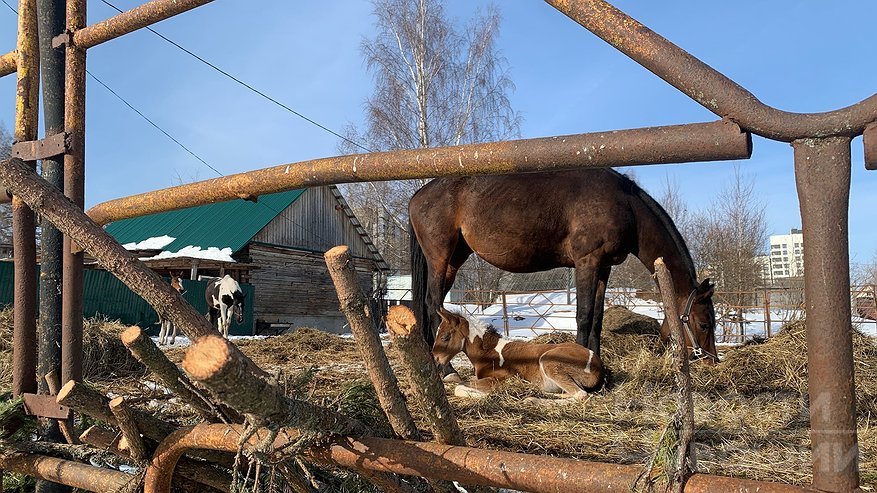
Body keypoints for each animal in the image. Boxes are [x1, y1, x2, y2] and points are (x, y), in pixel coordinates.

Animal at [408, 168, 716, 362]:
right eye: (703, 323)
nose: (711, 360)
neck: (624, 205)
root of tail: (418, 196)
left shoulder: (603, 268)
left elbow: (597, 319)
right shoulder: (587, 263)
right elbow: (583, 316)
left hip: (454, 260)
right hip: (439, 258)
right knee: (433, 305)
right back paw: (446, 369)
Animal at [432, 310, 604, 398]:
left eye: (445, 337)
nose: (435, 359)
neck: (488, 353)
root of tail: (598, 364)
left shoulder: (500, 378)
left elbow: (459, 387)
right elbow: (461, 380)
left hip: (549, 361)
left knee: (580, 395)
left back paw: (531, 399)